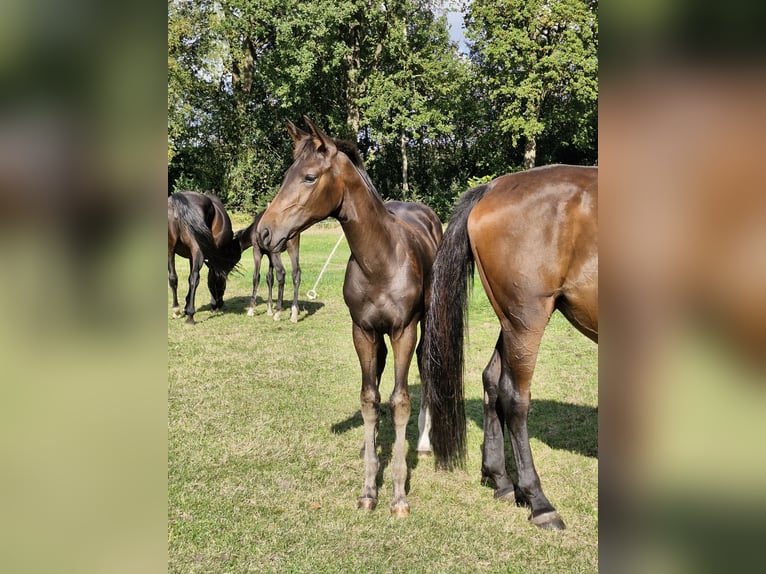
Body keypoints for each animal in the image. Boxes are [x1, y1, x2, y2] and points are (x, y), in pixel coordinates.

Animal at [168, 191, 242, 324]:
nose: (220, 303)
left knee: (173, 278)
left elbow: (188, 278)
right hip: (197, 251)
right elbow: (210, 277)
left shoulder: (191, 257)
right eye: (223, 283)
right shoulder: (211, 259)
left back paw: (176, 310)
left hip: (170, 249)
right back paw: (191, 316)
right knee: (195, 278)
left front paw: (185, 306)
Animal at [257, 116, 442, 516]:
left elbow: (400, 401)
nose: (264, 232)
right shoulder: (362, 331)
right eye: (286, 174)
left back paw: (423, 442)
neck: (381, 260)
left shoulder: (404, 330)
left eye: (309, 177)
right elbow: (369, 399)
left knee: (425, 368)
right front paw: (369, 488)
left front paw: (399, 496)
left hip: (424, 325)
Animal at [422, 164, 598, 530]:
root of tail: (493, 187)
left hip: (511, 322)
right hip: (526, 319)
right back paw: (538, 501)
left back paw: (499, 479)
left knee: (492, 379)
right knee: (515, 399)